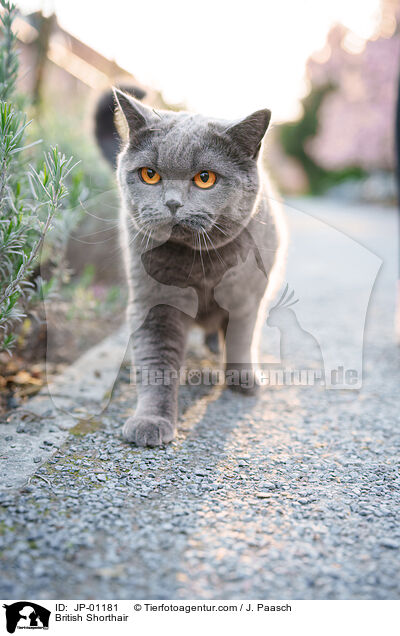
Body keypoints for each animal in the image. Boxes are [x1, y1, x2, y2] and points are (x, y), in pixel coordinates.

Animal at [95, 88, 286, 448]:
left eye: (205, 178)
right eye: (150, 174)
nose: (172, 203)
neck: (201, 267)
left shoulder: (247, 298)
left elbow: (241, 338)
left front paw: (242, 380)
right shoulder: (153, 303)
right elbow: (157, 363)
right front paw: (151, 421)